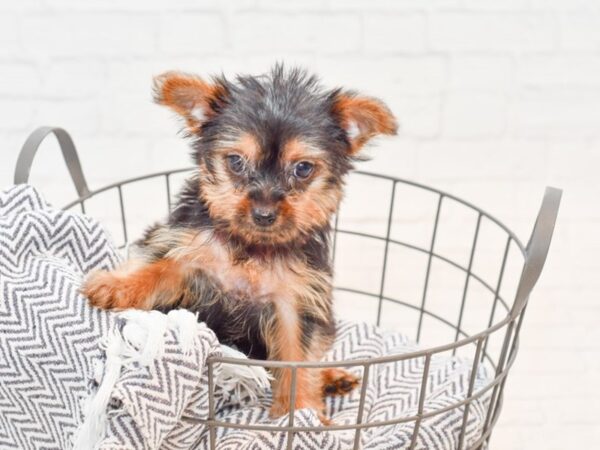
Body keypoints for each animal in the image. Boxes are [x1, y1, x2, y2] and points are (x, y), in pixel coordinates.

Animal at [82, 64, 396, 422]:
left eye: (302, 168)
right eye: (235, 162)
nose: (263, 213)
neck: (252, 247)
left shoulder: (295, 303)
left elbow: (298, 359)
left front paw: (302, 412)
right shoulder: (186, 252)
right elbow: (155, 264)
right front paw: (115, 284)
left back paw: (332, 378)